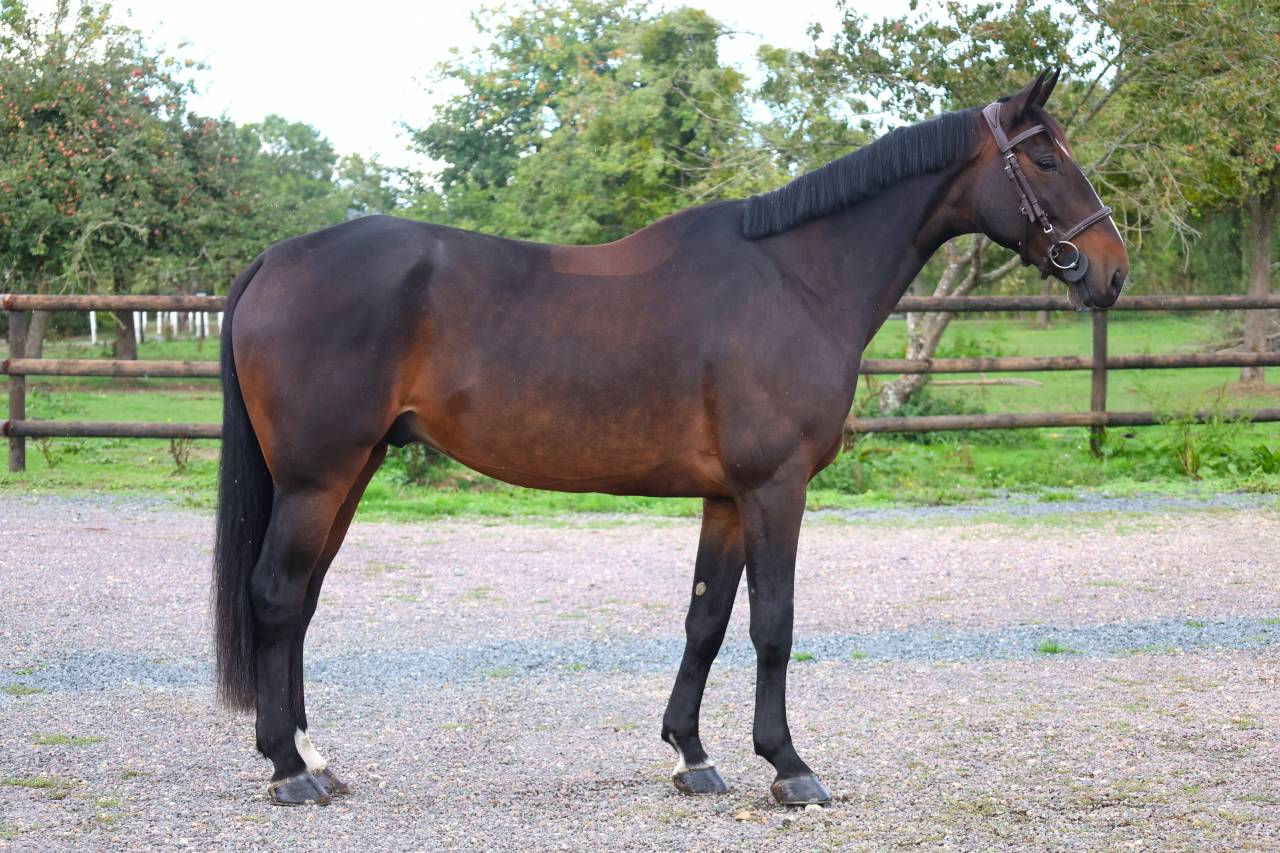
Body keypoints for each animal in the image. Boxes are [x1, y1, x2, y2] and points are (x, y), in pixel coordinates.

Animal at [212, 69, 1127, 806]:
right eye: (1046, 160)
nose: (1112, 269)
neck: (796, 279)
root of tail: (276, 259)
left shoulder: (726, 496)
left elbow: (707, 619)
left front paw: (693, 755)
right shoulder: (775, 486)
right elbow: (773, 625)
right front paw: (789, 765)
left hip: (351, 471)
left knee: (302, 603)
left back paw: (313, 757)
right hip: (317, 478)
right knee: (277, 596)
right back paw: (287, 770)